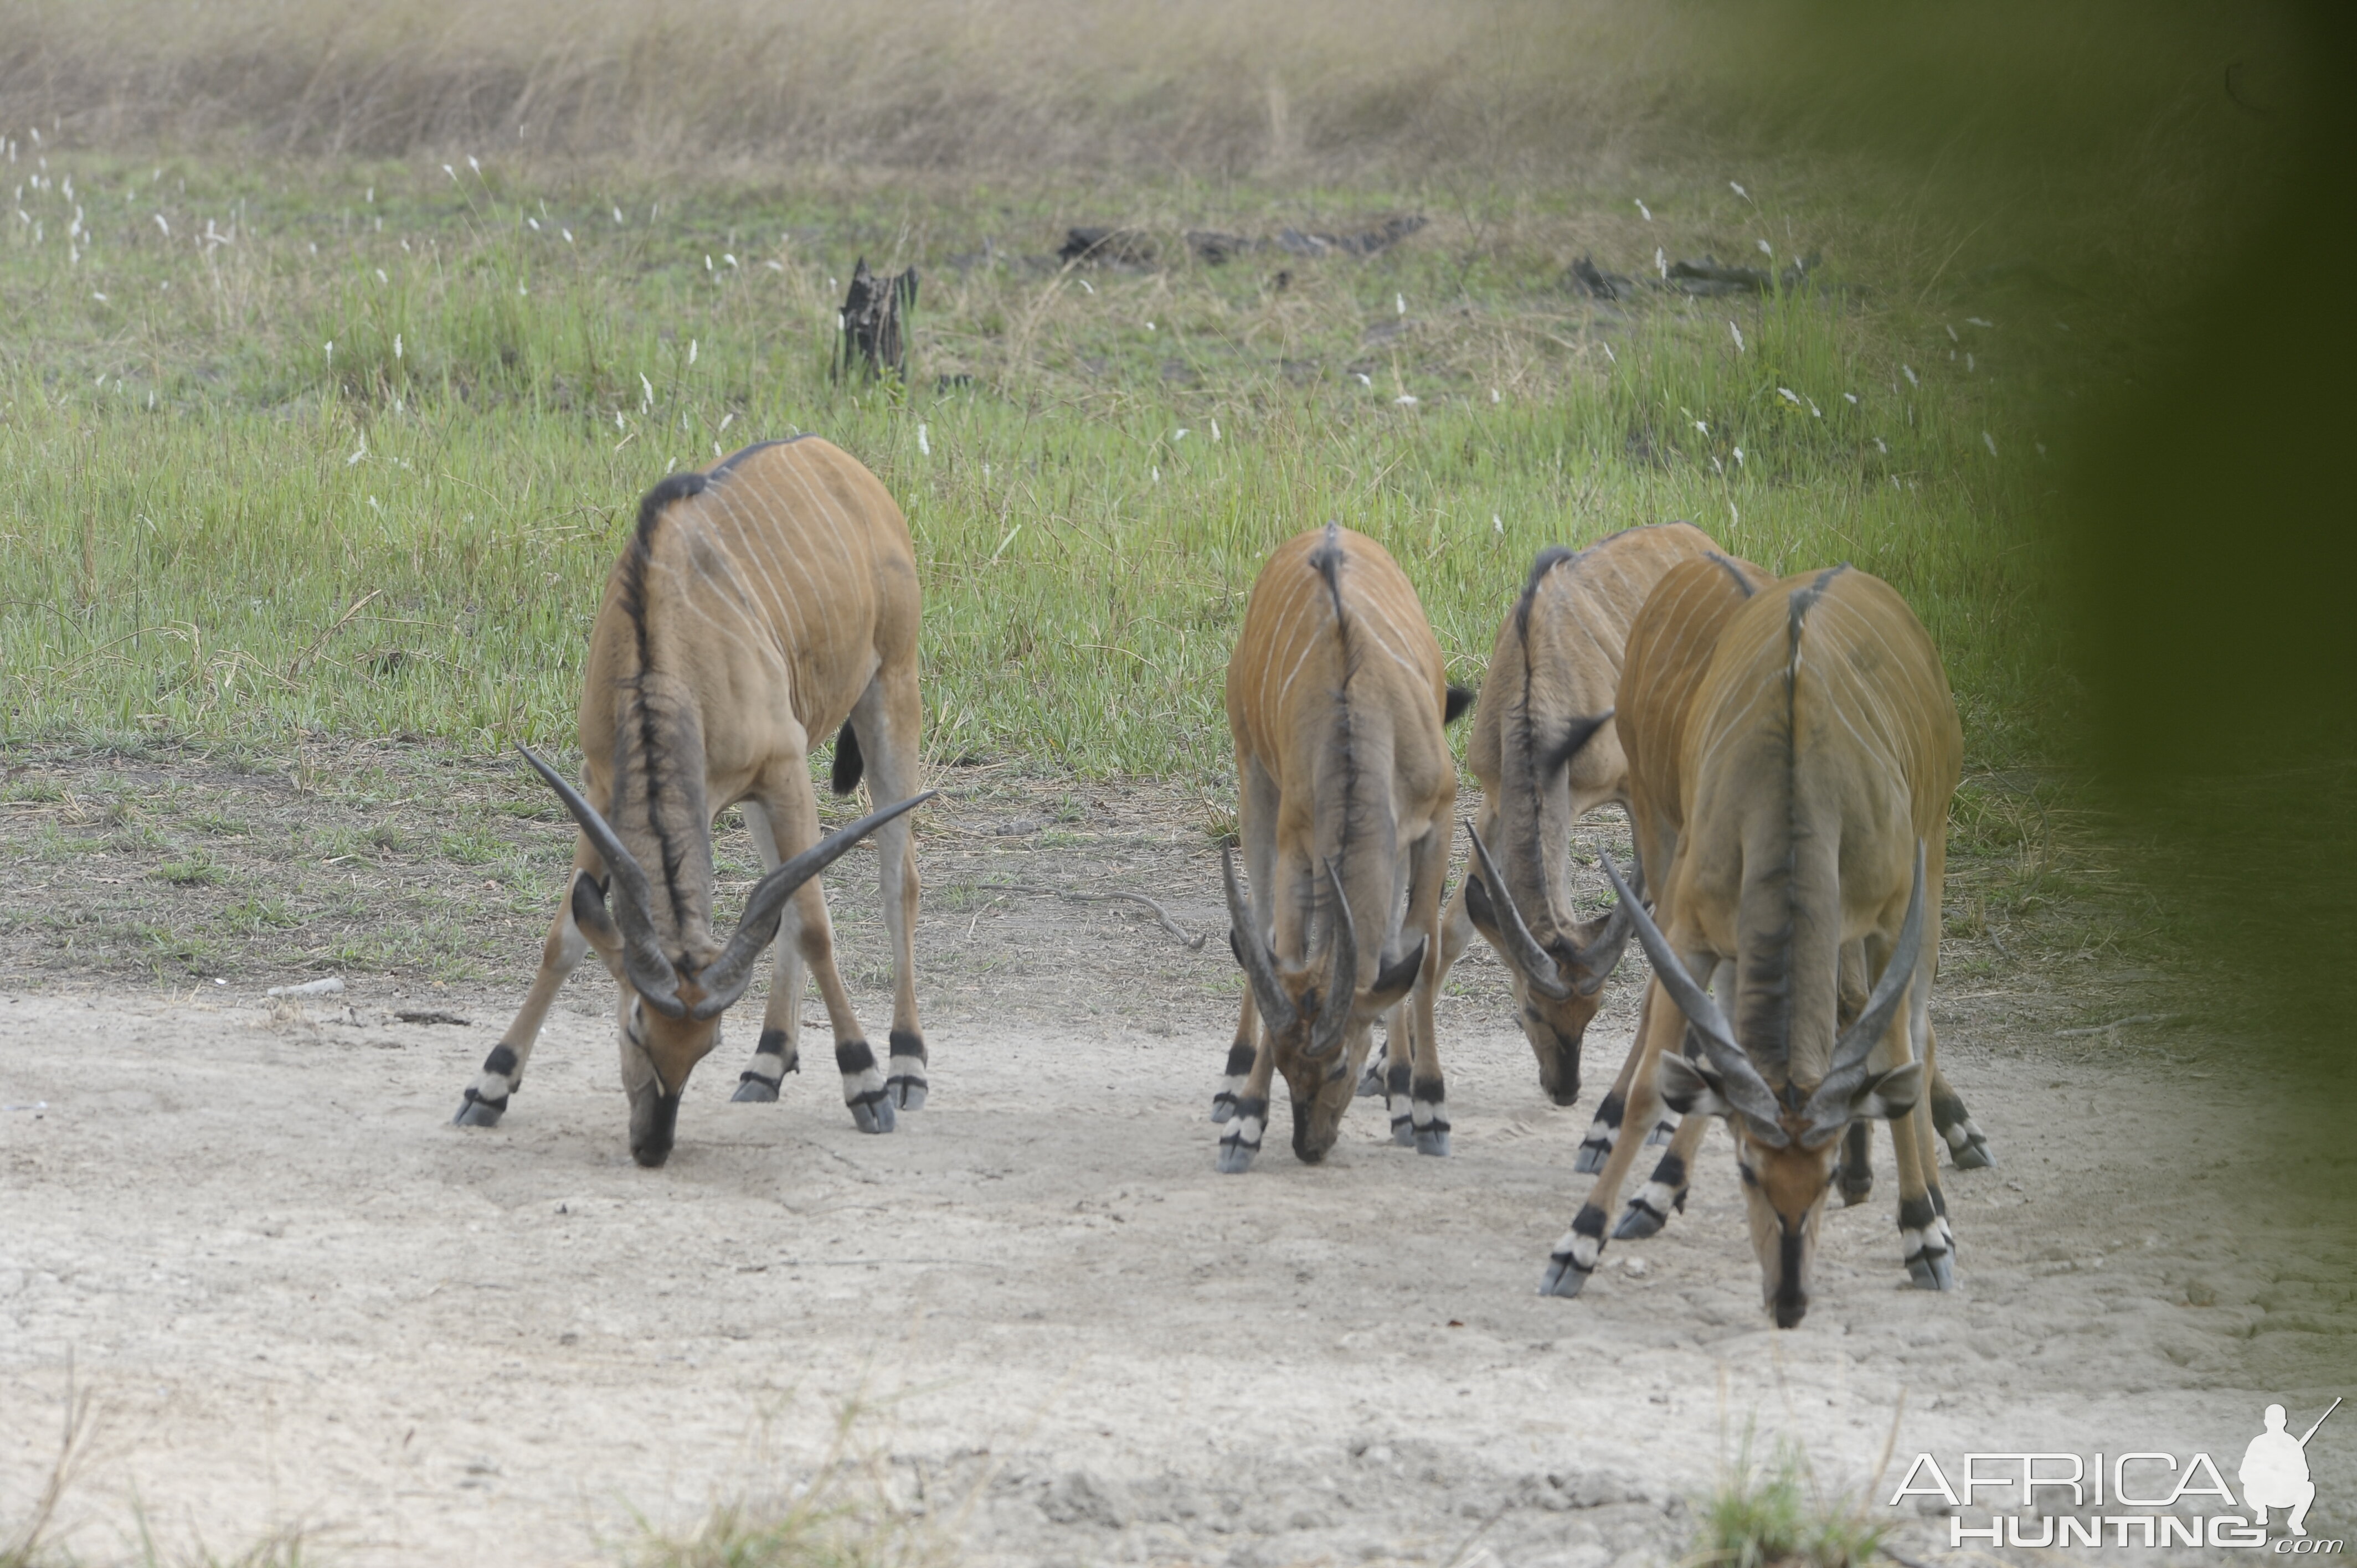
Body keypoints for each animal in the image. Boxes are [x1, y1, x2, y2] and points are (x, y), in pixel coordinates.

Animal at [455, 434, 933, 1169]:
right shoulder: (601, 787)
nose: (653, 1144)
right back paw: (768, 1064)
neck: (668, 627)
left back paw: (907, 1066)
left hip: (890, 691)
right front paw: (490, 1084)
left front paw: (864, 1083)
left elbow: (816, 926)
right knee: (787, 893)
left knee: (895, 877)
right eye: (634, 1027)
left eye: (708, 1043)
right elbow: (566, 935)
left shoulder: (783, 767)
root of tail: (836, 459)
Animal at [1216, 518, 1470, 1169]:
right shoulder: (1295, 839)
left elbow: (1418, 950)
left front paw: (1429, 1108)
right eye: (1283, 1067)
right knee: (1261, 922)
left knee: (1392, 948)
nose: (1310, 1145)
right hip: (1253, 775)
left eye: (1337, 1066)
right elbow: (1282, 950)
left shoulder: (1438, 818)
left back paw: (1403, 1095)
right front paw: (1245, 1122)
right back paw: (1229, 1083)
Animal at [1414, 523, 1716, 1160]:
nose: (1564, 1090)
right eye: (1531, 1005)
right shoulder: (1496, 798)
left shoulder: (1631, 797)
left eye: (1595, 1010)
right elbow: (1452, 928)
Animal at [1546, 563, 1970, 1320]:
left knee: (1909, 1033)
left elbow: (1897, 1051)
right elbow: (1655, 1085)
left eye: (1819, 1177)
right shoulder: (1689, 930)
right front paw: (1580, 1242)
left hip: (1933, 856)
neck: (1794, 778)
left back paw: (1930, 1207)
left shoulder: (1892, 918)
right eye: (1746, 1168)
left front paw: (1921, 1229)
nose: (1789, 1300)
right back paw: (1661, 1191)